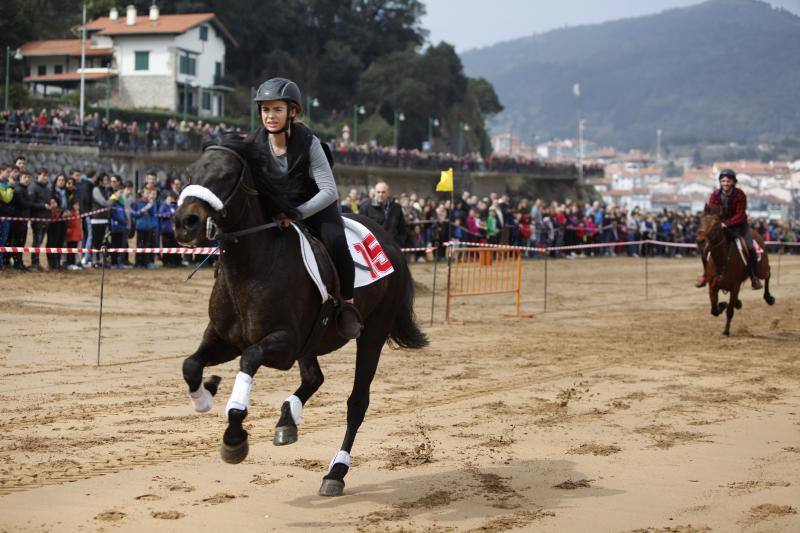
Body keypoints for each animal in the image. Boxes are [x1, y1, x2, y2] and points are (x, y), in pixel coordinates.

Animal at [173, 136, 428, 494]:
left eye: (226, 175)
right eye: (191, 171)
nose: (186, 222)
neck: (251, 265)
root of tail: (390, 241)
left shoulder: (283, 343)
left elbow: (249, 360)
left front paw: (234, 435)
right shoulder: (223, 338)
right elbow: (190, 365)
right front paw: (205, 396)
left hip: (372, 334)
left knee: (357, 403)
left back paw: (335, 471)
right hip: (313, 340)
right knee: (313, 378)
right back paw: (287, 418)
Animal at [696, 205, 772, 336]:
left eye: (716, 224)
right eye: (701, 221)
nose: (700, 240)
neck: (722, 260)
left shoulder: (734, 287)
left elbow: (729, 310)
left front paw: (726, 331)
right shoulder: (713, 286)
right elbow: (714, 310)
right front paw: (722, 305)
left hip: (761, 269)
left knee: (768, 274)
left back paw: (768, 297)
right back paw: (738, 302)